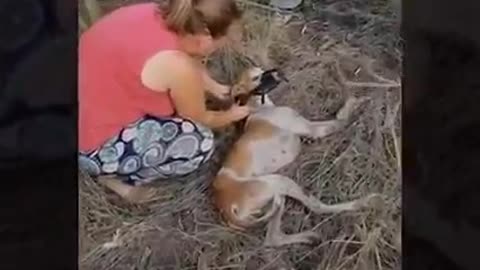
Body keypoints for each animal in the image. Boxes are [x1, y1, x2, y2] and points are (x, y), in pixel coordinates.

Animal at [212, 67, 384, 247]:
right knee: (317, 206)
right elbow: (342, 118)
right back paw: (365, 202)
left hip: (276, 200)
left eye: (261, 70)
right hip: (278, 182)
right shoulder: (311, 128)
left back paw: (308, 237)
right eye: (255, 77)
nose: (278, 72)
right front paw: (355, 103)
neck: (259, 106)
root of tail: (226, 206)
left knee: (273, 238)